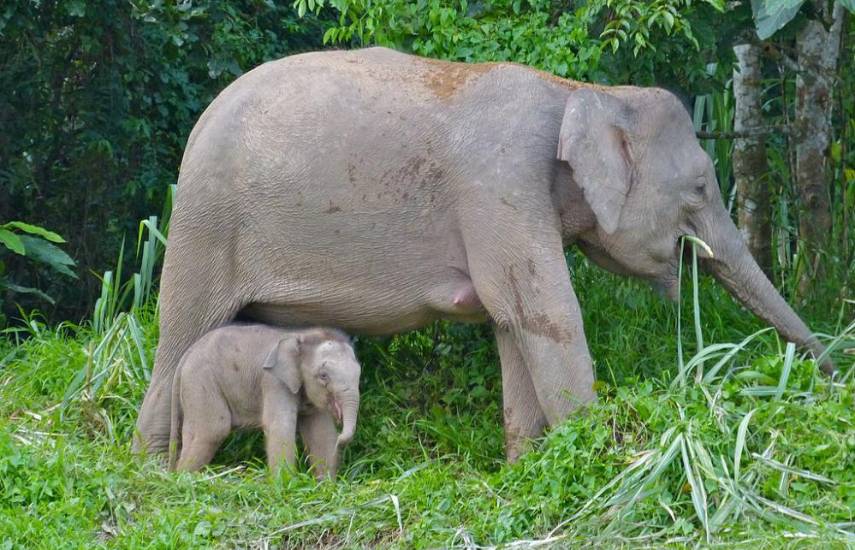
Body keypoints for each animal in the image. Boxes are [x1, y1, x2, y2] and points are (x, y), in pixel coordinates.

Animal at [137, 46, 832, 461]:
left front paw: (525, 466)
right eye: (700, 188)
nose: (830, 378)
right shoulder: (500, 186)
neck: (583, 90)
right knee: (182, 332)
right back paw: (152, 473)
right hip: (205, 224)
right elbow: (546, 314)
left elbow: (509, 323)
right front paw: (603, 460)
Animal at [168, 324, 361, 477]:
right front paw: (283, 484)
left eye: (359, 373)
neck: (301, 336)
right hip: (201, 382)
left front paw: (327, 485)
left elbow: (321, 432)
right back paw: (184, 479)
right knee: (213, 430)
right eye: (323, 376)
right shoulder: (274, 382)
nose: (341, 440)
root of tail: (185, 356)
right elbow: (280, 426)